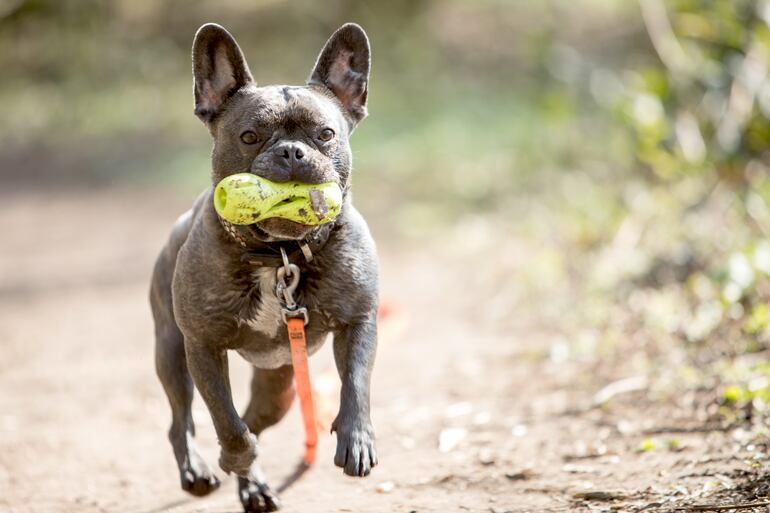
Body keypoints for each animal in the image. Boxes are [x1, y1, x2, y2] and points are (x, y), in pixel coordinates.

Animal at [148, 22, 376, 510]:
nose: (291, 151)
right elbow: (226, 421)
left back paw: (251, 483)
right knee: (185, 418)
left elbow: (356, 380)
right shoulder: (202, 346)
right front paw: (237, 457)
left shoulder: (360, 320)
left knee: (255, 416)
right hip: (171, 350)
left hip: (281, 386)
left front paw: (357, 437)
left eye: (325, 134)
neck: (280, 254)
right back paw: (201, 469)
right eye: (249, 136)